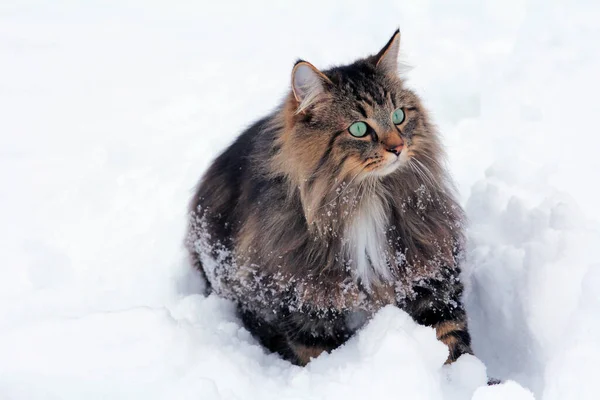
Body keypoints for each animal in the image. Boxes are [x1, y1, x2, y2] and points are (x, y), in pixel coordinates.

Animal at [186, 30, 474, 368]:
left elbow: (449, 334)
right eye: (359, 128)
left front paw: (469, 375)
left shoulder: (428, 265)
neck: (365, 197)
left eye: (399, 116)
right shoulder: (303, 297)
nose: (397, 147)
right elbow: (316, 352)